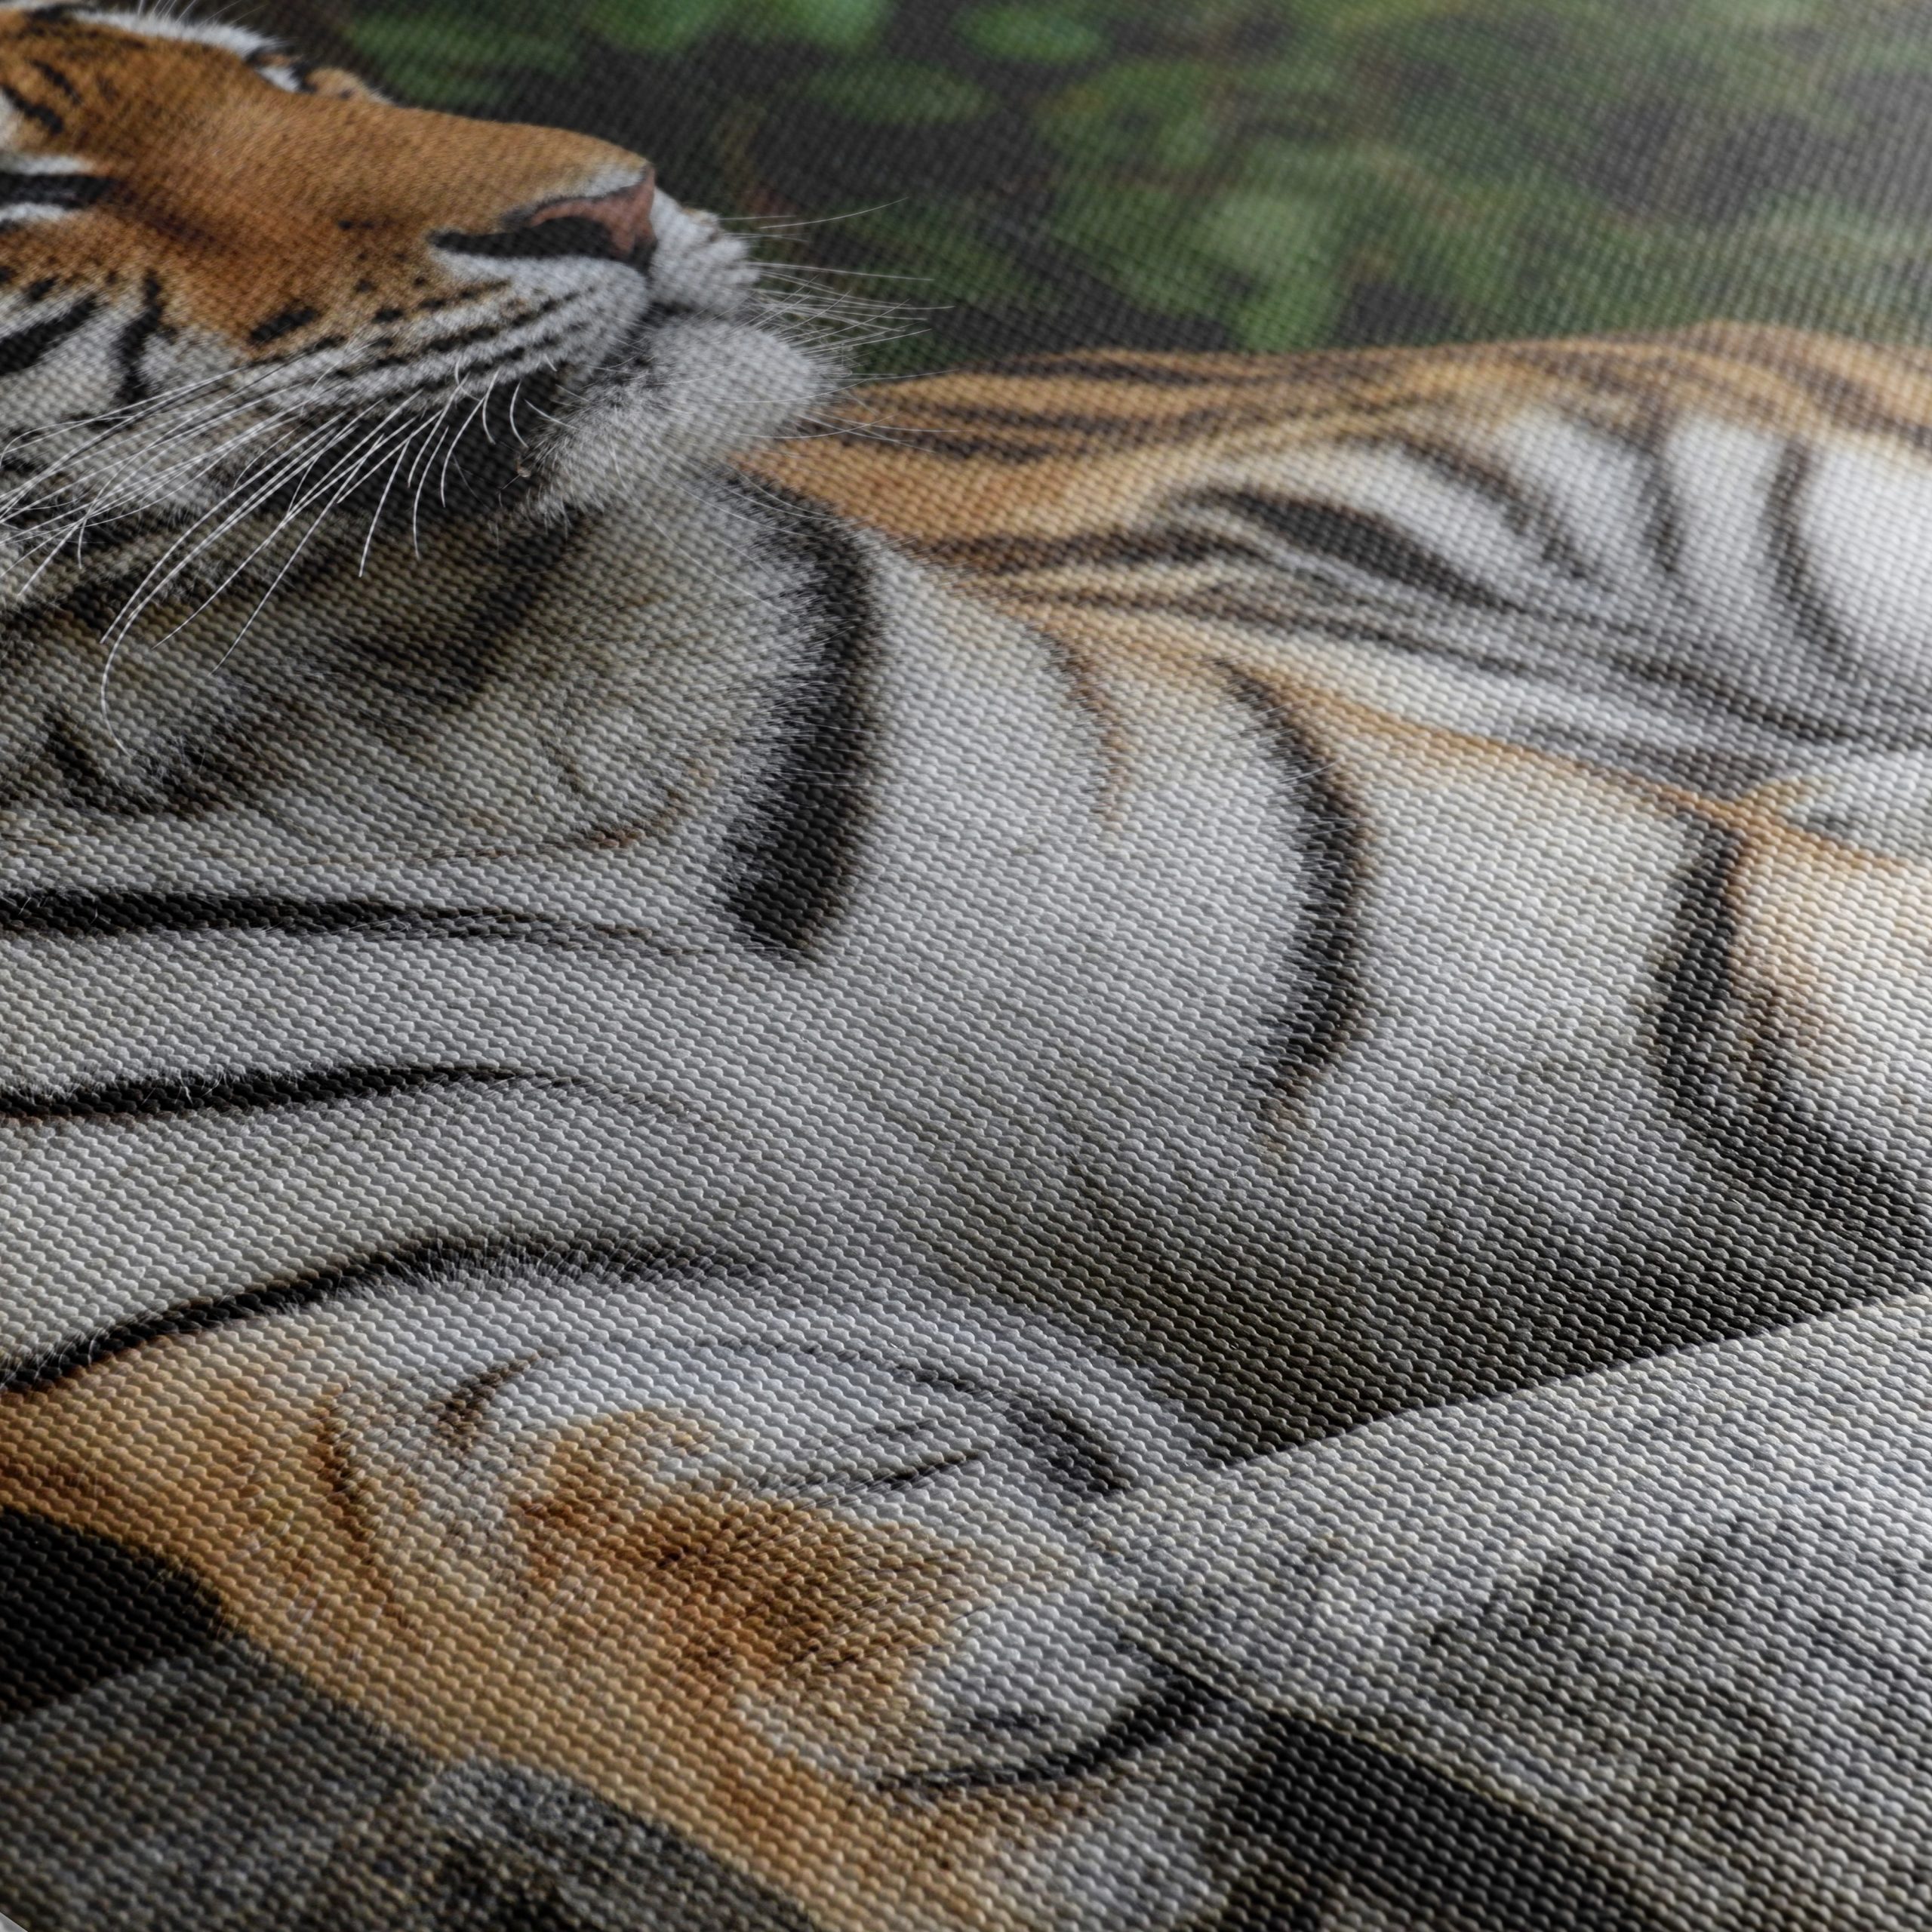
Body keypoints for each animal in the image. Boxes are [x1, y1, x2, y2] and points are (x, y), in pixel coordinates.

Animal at [0, 7, 1931, 1932]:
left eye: (293, 76)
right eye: (36, 188)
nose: (608, 203)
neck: (321, 712)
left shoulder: (1505, 953)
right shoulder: (403, 1338)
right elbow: (668, 1611)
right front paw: (1078, 1753)